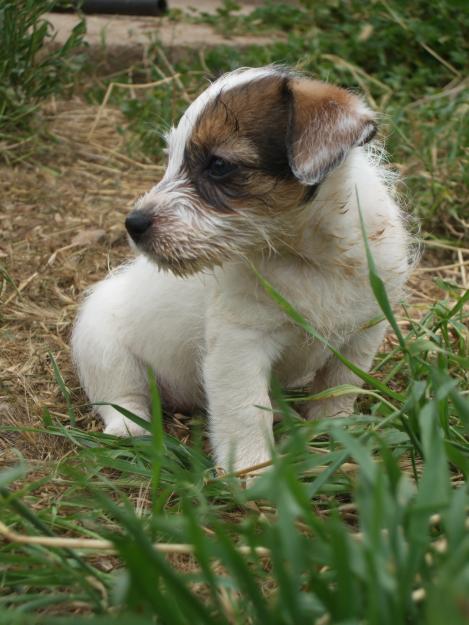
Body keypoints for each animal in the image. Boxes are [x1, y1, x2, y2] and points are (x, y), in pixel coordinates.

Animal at [70, 66, 410, 470]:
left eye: (219, 165)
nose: (133, 224)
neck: (307, 256)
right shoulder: (240, 346)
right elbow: (245, 413)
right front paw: (253, 471)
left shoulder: (363, 333)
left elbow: (338, 390)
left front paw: (335, 434)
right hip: (103, 349)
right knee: (121, 395)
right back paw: (130, 429)